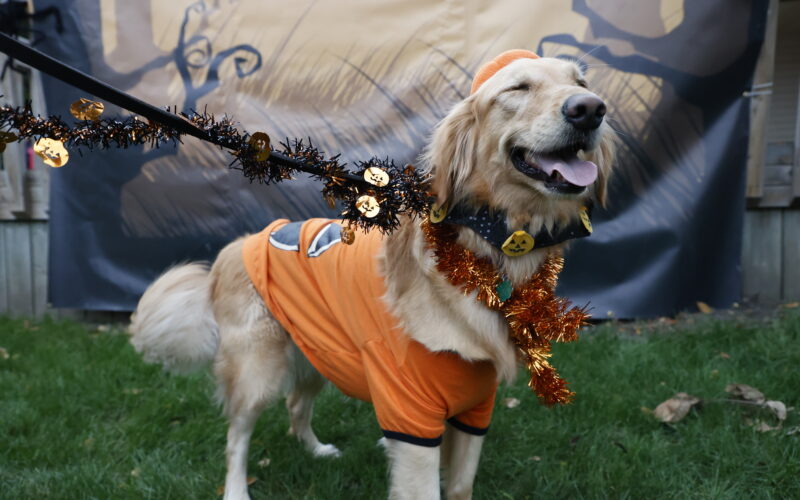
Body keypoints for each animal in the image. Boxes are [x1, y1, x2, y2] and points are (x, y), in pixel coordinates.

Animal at [130, 51, 612, 500]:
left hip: (318, 351)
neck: (489, 254)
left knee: (295, 404)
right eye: (518, 88)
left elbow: (459, 487)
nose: (591, 109)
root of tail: (238, 245)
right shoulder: (412, 414)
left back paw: (317, 451)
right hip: (257, 370)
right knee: (237, 437)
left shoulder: (476, 409)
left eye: (581, 83)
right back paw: (237, 489)